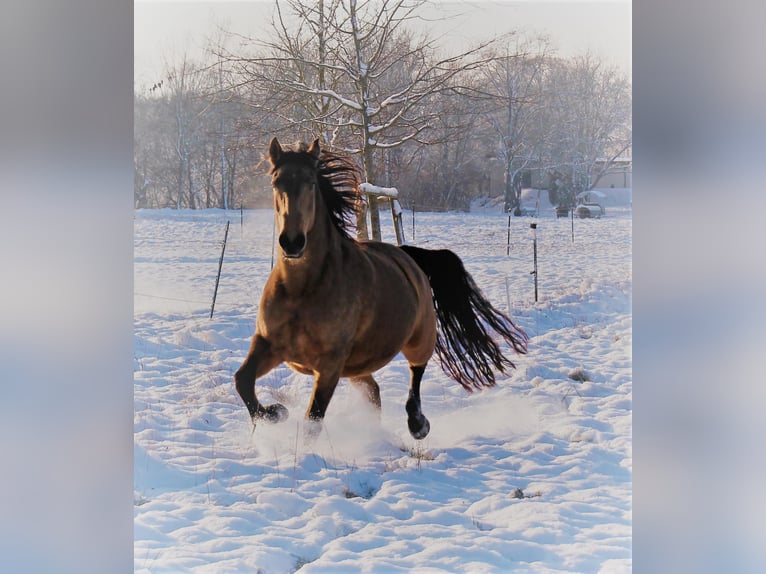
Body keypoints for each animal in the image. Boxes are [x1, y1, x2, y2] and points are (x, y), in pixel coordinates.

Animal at [234, 140, 528, 440]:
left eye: (310, 182)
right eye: (276, 182)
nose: (292, 242)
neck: (301, 291)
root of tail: (407, 255)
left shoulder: (329, 364)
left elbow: (312, 420)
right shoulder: (268, 344)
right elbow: (242, 380)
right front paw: (275, 412)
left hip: (418, 338)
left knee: (416, 373)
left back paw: (418, 425)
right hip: (355, 367)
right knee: (374, 391)